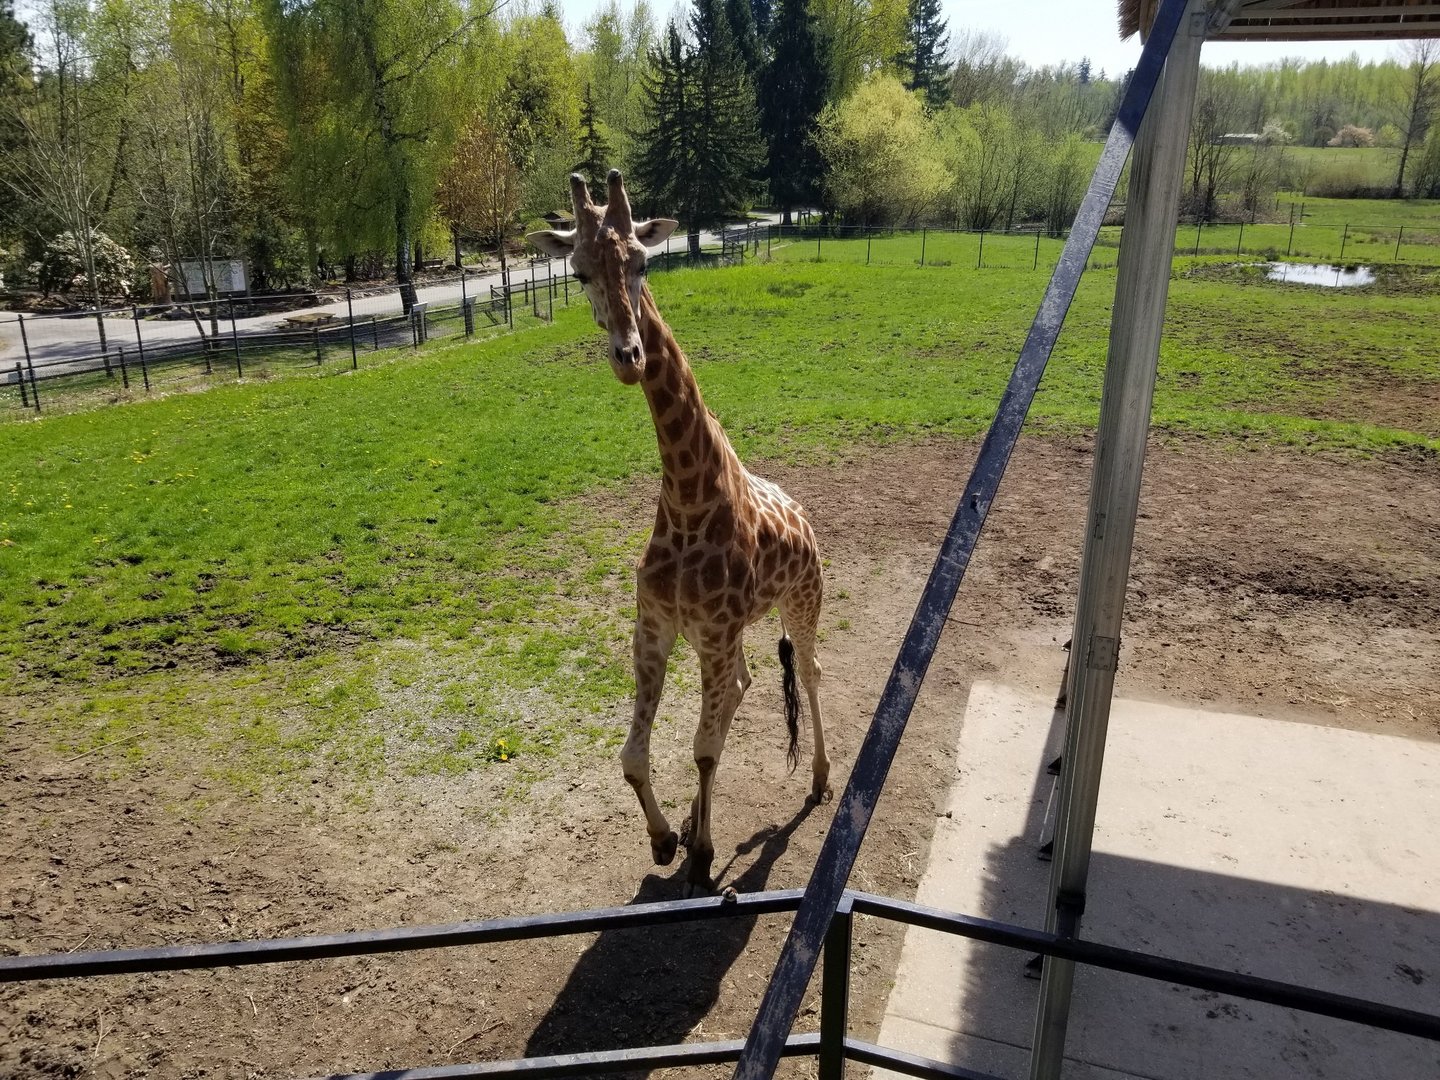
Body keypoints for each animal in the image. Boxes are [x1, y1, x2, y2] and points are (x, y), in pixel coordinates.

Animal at [528, 171, 831, 895]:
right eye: (578, 272)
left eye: (642, 261)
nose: (630, 357)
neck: (690, 498)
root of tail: (805, 516)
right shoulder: (658, 625)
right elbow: (635, 756)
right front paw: (669, 838)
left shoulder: (715, 633)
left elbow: (704, 749)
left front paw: (701, 854)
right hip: (724, 637)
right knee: (746, 686)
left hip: (801, 603)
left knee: (808, 673)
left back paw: (820, 778)